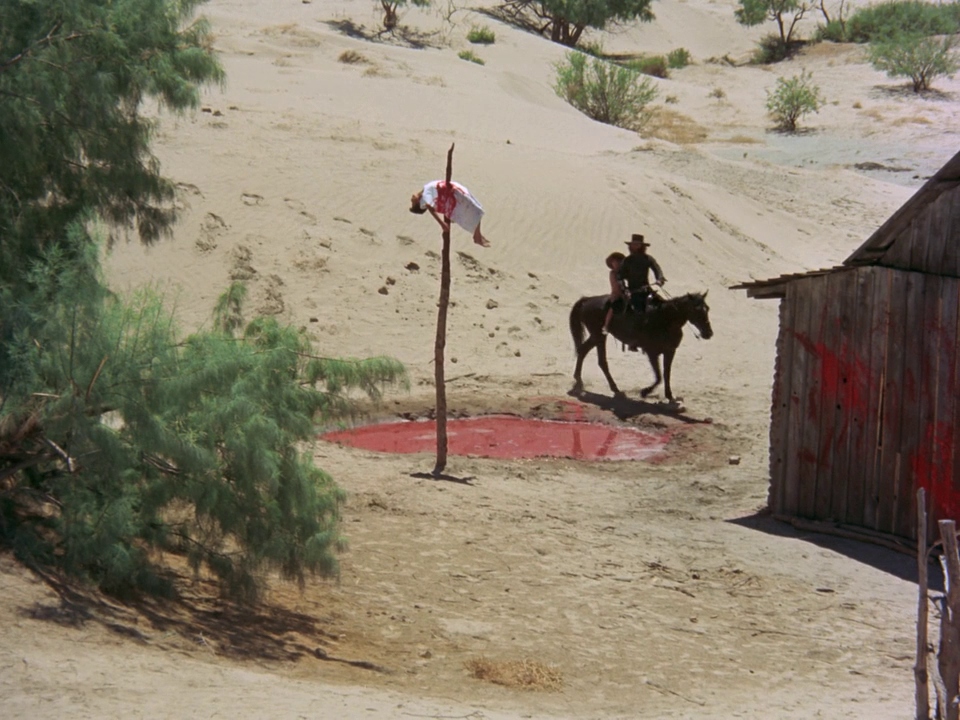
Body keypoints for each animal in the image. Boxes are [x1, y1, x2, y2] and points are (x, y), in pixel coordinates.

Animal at [569, 291, 713, 401]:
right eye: (697, 310)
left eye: (707, 309)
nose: (709, 333)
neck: (665, 319)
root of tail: (587, 300)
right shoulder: (652, 352)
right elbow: (659, 376)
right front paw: (645, 392)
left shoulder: (670, 351)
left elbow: (666, 374)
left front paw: (670, 396)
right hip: (599, 336)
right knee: (601, 361)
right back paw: (613, 388)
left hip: (597, 336)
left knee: (583, 351)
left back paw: (580, 380)